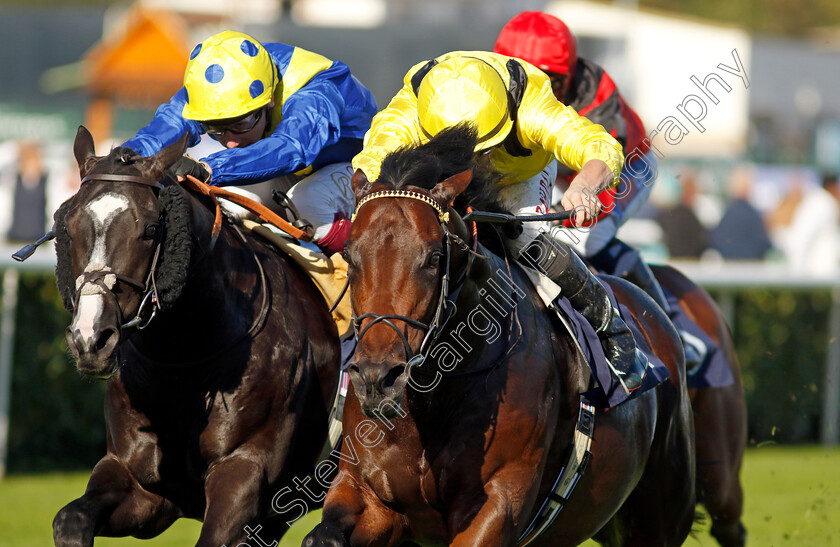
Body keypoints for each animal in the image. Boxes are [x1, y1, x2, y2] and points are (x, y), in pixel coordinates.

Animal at [52, 127, 340, 547]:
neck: (184, 359)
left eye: (151, 229)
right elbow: (70, 520)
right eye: (67, 228)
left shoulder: (244, 469)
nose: (91, 339)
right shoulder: (144, 486)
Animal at [306, 126, 692, 544]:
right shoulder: (368, 493)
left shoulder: (496, 502)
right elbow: (323, 535)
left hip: (659, 514)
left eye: (433, 258)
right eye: (350, 255)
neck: (434, 394)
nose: (377, 378)